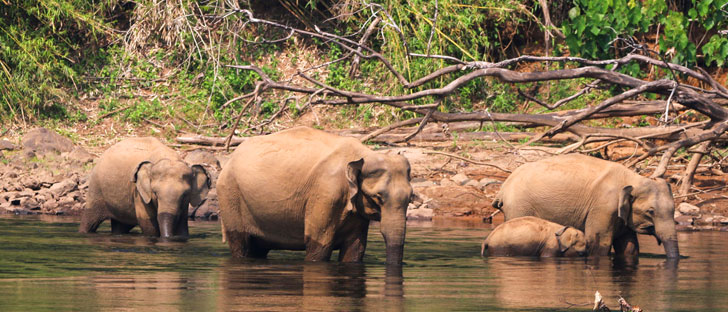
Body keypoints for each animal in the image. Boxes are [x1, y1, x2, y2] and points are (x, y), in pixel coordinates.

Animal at [80, 137, 210, 239]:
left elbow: (182, 225)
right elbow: (148, 223)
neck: (168, 157)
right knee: (89, 221)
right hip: (96, 189)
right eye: (155, 193)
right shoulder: (138, 192)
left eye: (184, 195)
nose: (168, 237)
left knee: (120, 226)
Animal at [213, 125, 412, 264]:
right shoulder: (326, 194)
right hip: (229, 195)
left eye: (410, 198)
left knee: (257, 249)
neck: (364, 153)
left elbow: (355, 251)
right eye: (378, 197)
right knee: (240, 245)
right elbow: (319, 247)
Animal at [492, 154, 680, 258]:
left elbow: (629, 247)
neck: (634, 178)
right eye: (651, 211)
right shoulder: (603, 207)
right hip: (518, 206)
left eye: (673, 210)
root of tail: (503, 187)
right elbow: (599, 243)